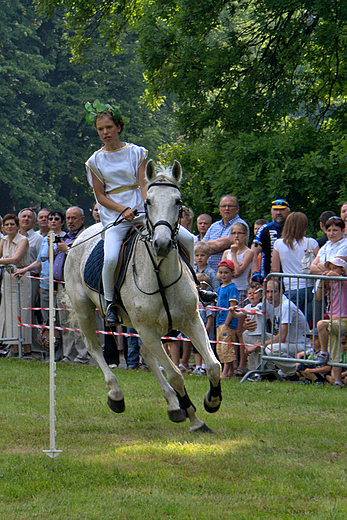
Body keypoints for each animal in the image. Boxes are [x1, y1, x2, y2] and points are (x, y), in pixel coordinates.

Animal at [64, 160, 223, 432]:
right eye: (148, 201)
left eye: (178, 201)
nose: (162, 244)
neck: (159, 273)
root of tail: (80, 235)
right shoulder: (147, 330)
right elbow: (175, 375)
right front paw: (194, 417)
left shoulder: (191, 321)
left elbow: (213, 365)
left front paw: (211, 401)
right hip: (84, 309)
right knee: (94, 347)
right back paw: (116, 396)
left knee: (147, 356)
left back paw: (173, 405)